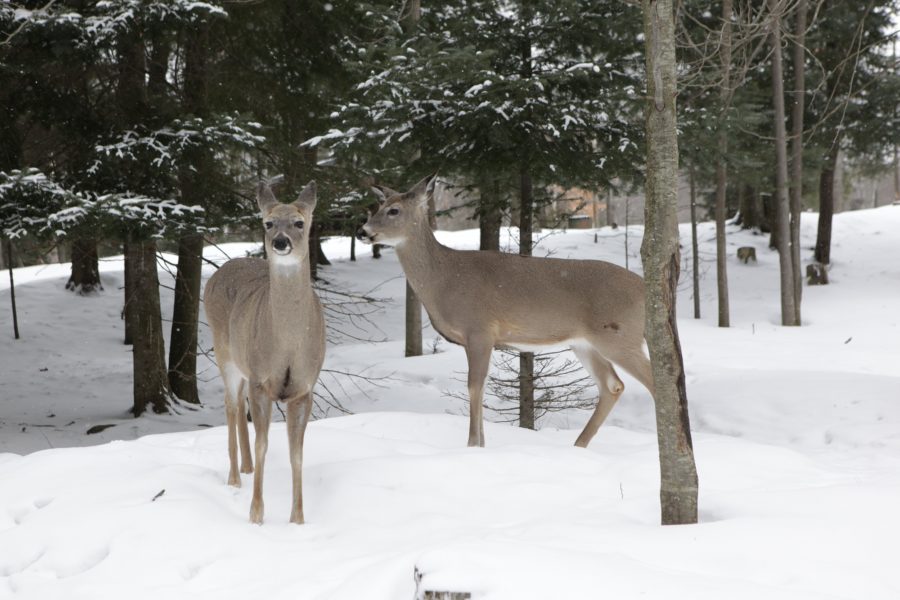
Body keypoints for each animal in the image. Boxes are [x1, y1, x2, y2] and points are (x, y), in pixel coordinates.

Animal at [205, 180, 326, 524]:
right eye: (268, 223)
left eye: (299, 222)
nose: (280, 242)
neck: (287, 345)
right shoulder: (263, 381)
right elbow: (263, 444)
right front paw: (256, 514)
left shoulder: (304, 388)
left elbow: (296, 453)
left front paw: (297, 518)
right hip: (225, 352)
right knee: (231, 405)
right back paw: (234, 477)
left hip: (245, 363)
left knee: (238, 404)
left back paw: (245, 468)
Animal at [358, 173, 652, 446]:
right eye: (377, 206)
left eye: (394, 210)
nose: (362, 231)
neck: (444, 279)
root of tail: (643, 287)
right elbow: (481, 386)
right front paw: (481, 444)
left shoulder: (479, 329)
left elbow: (474, 386)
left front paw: (472, 444)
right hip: (584, 343)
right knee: (613, 385)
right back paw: (578, 446)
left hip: (619, 335)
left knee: (653, 380)